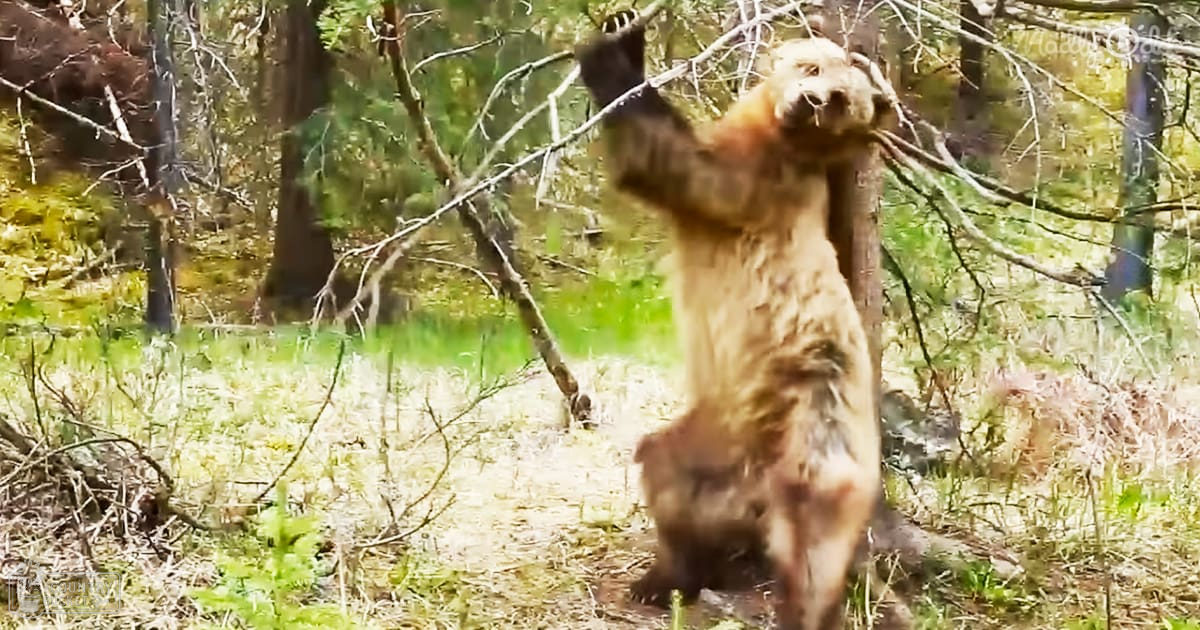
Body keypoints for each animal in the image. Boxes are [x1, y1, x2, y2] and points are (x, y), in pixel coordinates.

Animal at [574, 10, 895, 630]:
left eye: (841, 99)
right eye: (811, 66)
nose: (810, 101)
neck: (782, 139)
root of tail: (755, 493)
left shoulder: (754, 182)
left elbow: (673, 165)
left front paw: (611, 59)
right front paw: (626, 28)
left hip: (817, 431)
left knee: (812, 545)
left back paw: (796, 606)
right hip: (711, 436)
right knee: (666, 475)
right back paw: (665, 579)